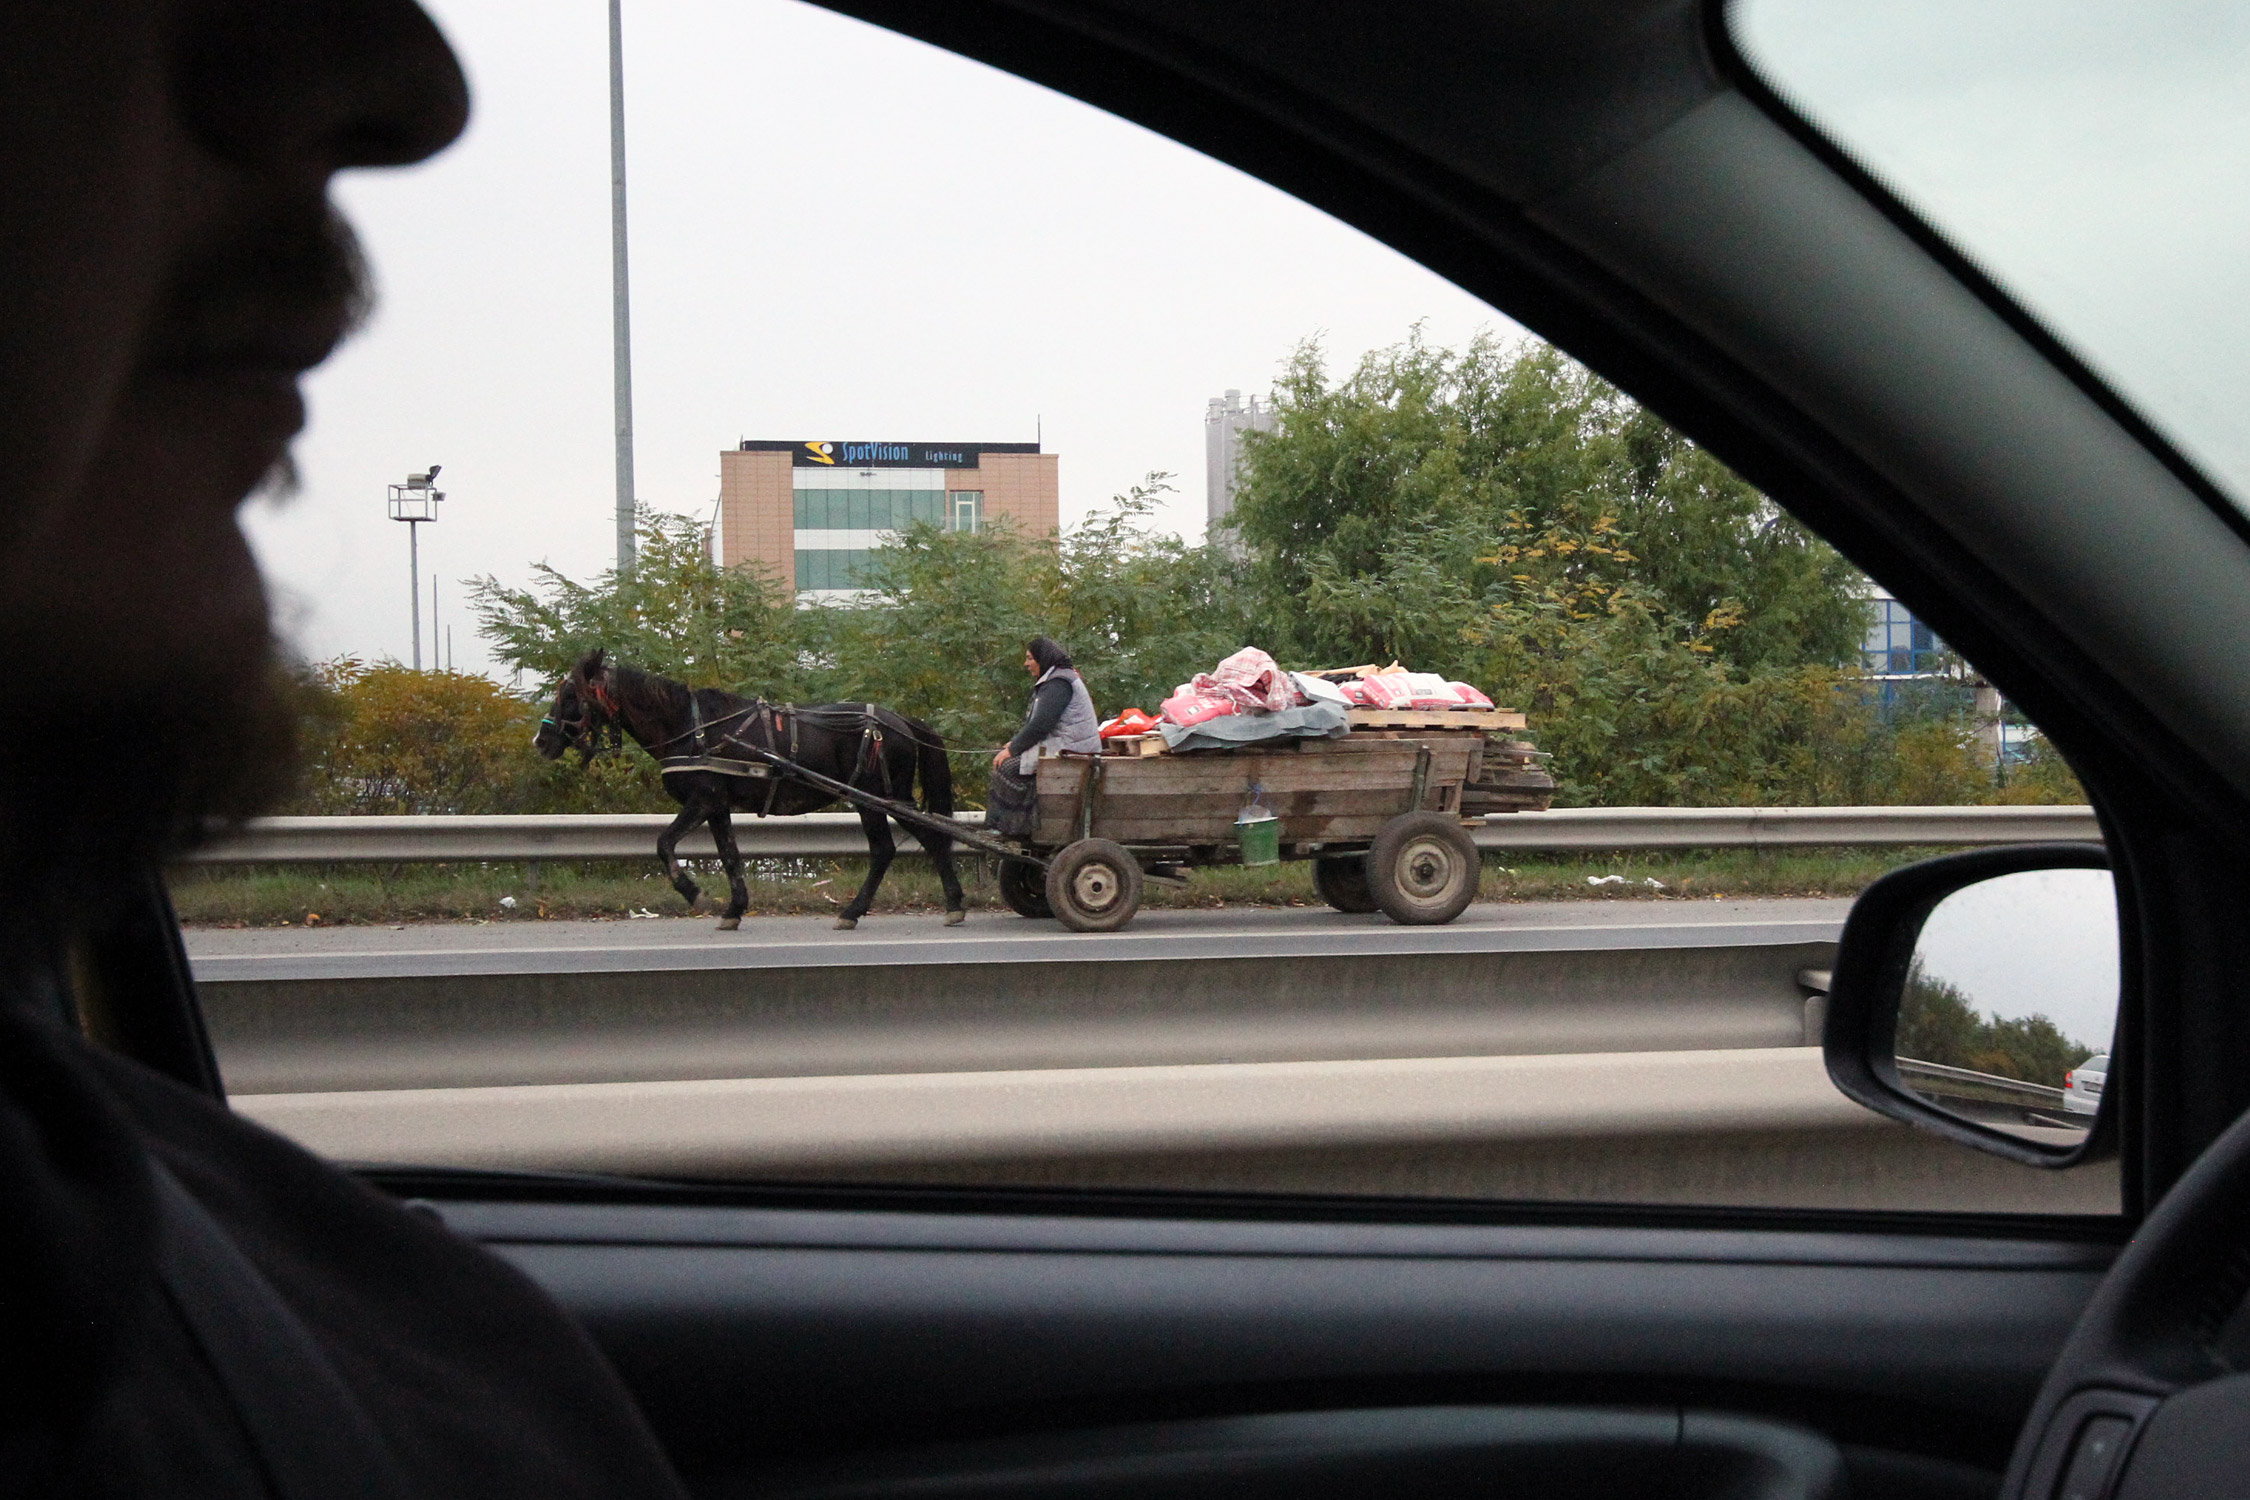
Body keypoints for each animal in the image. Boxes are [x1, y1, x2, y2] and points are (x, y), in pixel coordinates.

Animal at [544, 652, 976, 931]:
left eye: (571, 696)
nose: (541, 740)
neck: (691, 727)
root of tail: (900, 720)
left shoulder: (702, 800)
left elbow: (664, 843)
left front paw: (692, 892)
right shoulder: (717, 806)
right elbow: (730, 856)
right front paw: (734, 909)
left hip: (876, 797)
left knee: (892, 847)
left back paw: (857, 910)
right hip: (886, 797)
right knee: (926, 840)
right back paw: (950, 903)